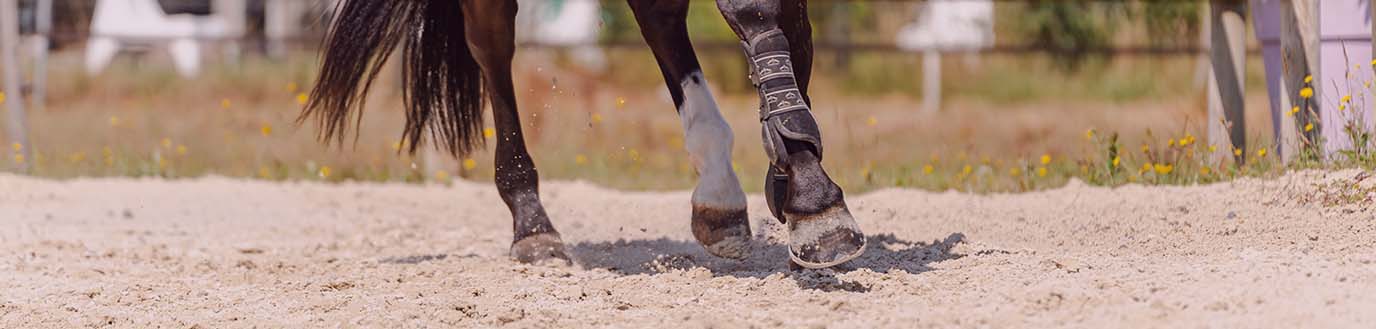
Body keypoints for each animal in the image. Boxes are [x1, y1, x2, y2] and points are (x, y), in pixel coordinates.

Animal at [304, 0, 858, 268]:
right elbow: (752, 9)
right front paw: (813, 204)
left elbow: (788, 27)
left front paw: (800, 186)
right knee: (491, 45)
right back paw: (534, 229)